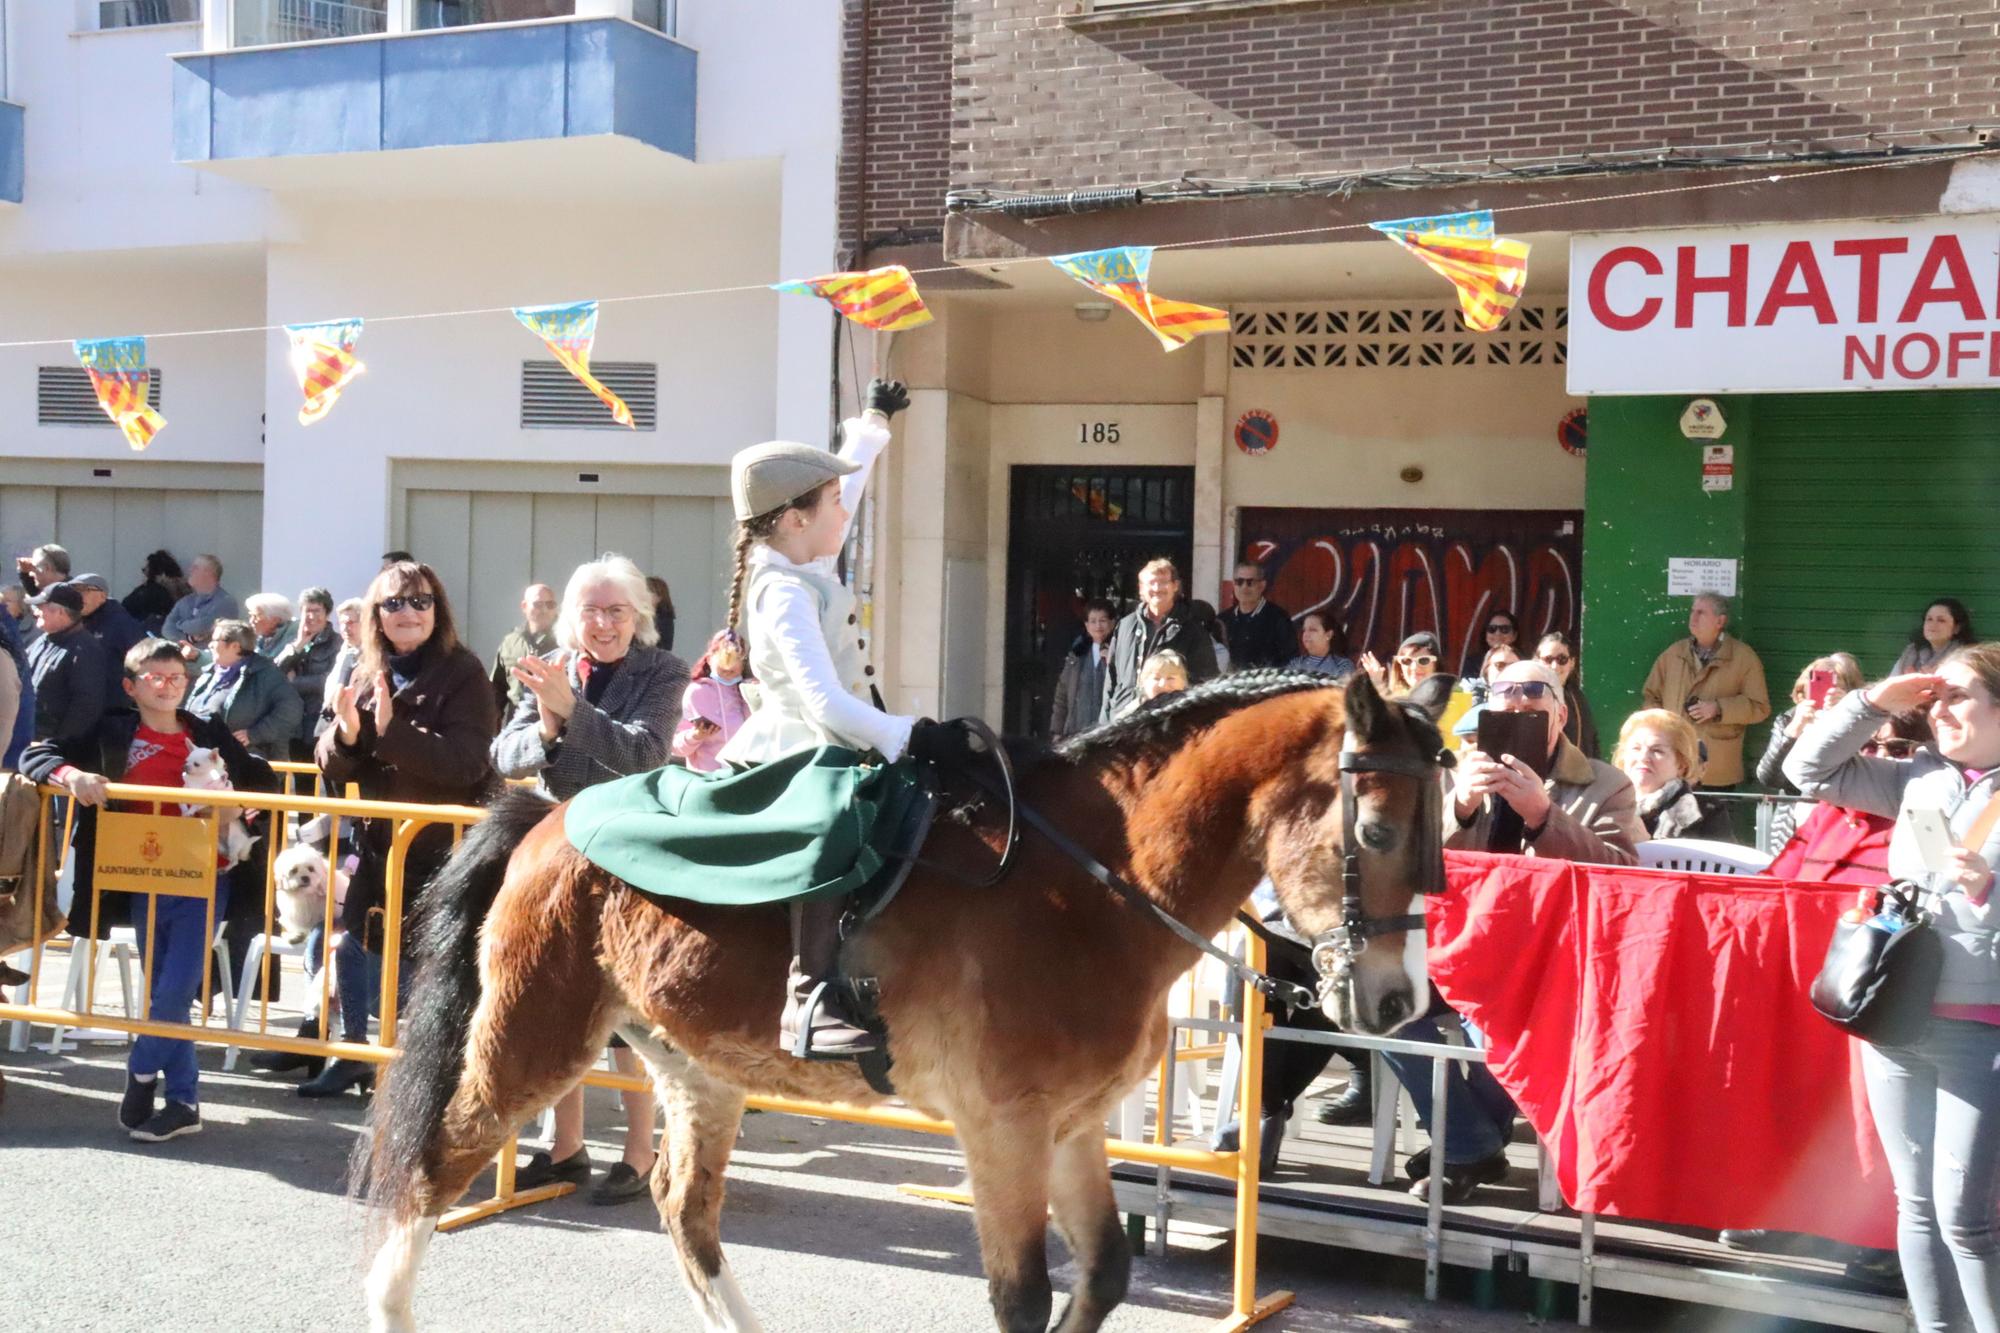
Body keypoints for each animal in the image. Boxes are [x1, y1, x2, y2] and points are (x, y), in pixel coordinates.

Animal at [360, 668, 1448, 1320]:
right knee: (430, 1169)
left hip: (697, 1068)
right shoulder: (1004, 1129)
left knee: (684, 1208)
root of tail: (548, 818)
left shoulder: (1071, 1127)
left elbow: (1103, 1274)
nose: (1396, 1002)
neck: (1096, 883)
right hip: (529, 1041)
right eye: (1378, 832)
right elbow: (1020, 1296)